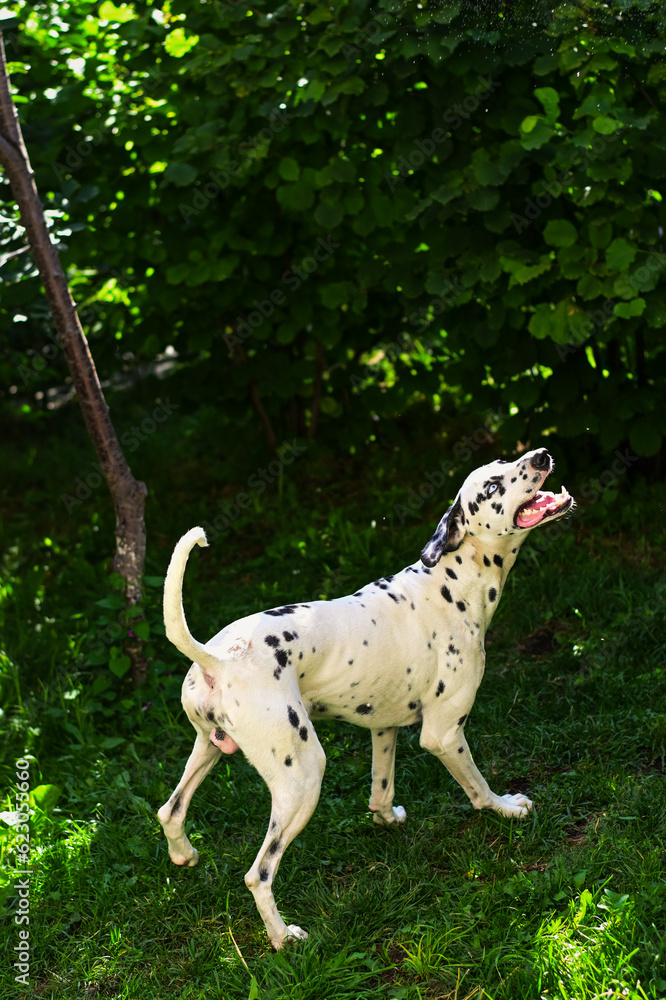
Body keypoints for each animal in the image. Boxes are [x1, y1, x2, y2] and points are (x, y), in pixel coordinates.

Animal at [157, 450, 572, 948]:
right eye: (492, 485)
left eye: (505, 460)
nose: (542, 455)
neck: (452, 582)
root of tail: (215, 657)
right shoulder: (445, 735)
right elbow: (478, 789)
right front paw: (507, 809)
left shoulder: (383, 727)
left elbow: (380, 790)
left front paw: (387, 818)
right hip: (303, 778)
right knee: (259, 874)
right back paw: (282, 937)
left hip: (208, 752)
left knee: (170, 811)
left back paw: (184, 855)